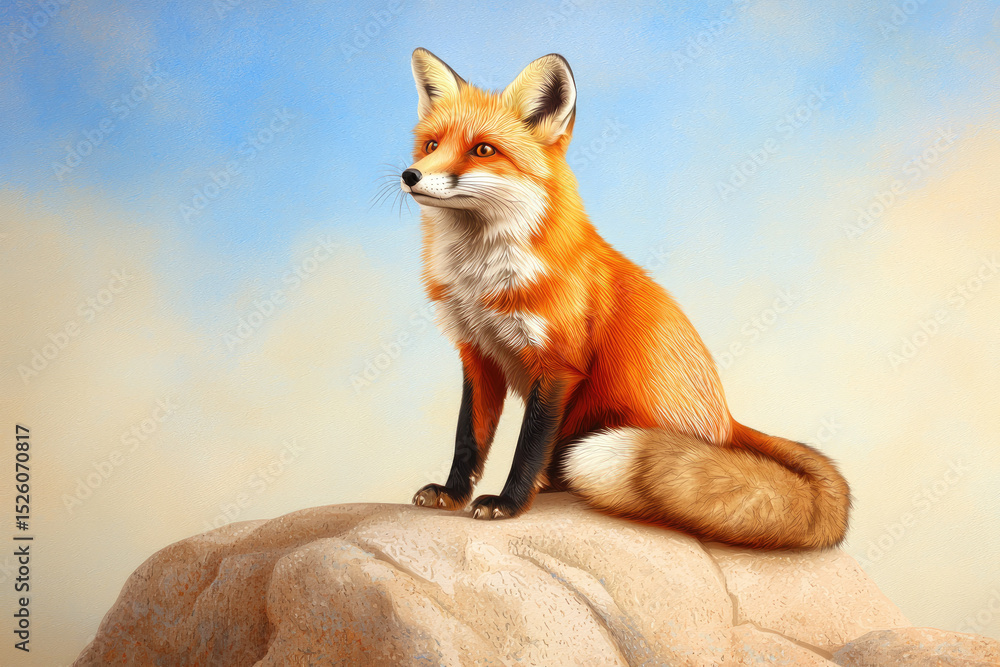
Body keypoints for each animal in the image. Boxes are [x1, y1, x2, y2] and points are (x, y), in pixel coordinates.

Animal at [401, 48, 851, 549]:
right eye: (431, 145)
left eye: (483, 150)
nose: (410, 175)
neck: (482, 280)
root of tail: (727, 421)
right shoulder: (478, 354)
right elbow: (469, 438)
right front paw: (453, 493)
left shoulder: (559, 365)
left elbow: (527, 446)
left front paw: (509, 503)